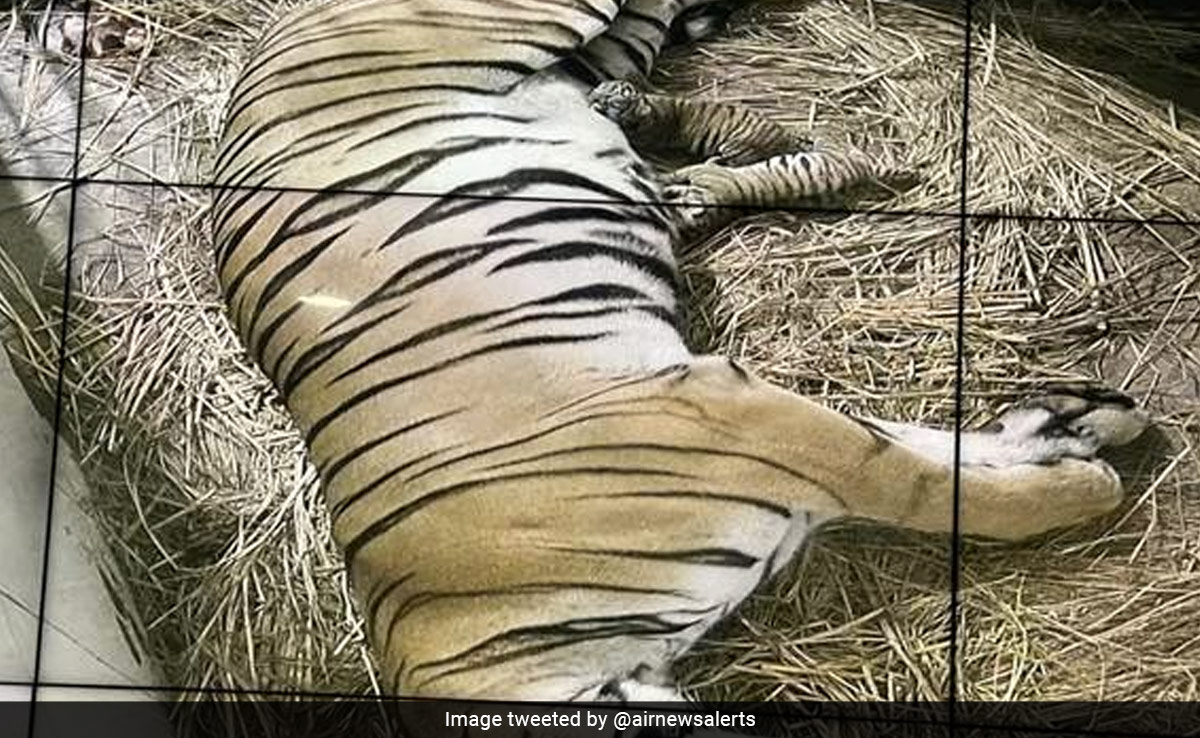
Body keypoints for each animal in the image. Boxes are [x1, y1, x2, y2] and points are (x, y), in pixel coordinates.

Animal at [211, 0, 1149, 704]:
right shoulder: (769, 436)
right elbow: (936, 462)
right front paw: (1078, 436)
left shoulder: (737, 411)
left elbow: (933, 482)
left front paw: (1085, 472)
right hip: (592, 56)